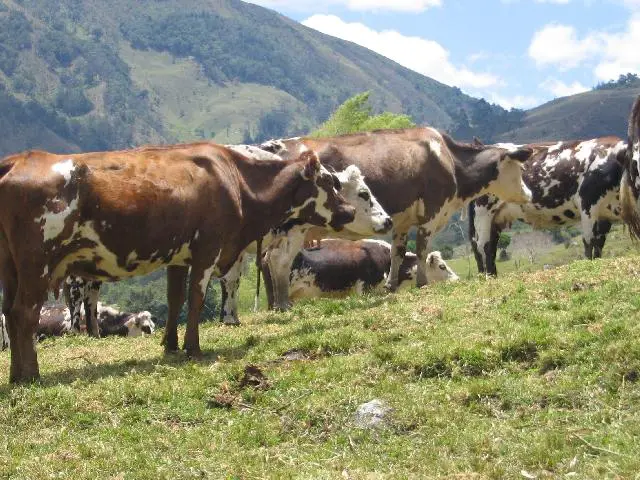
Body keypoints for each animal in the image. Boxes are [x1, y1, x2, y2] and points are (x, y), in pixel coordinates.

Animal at [0, 142, 360, 382]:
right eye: (328, 182)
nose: (349, 211)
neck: (236, 181)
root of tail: (20, 159)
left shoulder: (178, 255)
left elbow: (174, 299)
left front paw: (170, 345)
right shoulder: (208, 249)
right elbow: (195, 299)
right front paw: (193, 348)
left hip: (11, 266)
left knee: (9, 313)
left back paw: (17, 373)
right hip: (37, 263)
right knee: (24, 313)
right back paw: (30, 374)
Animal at [470, 137, 624, 276]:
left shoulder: (605, 217)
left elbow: (598, 244)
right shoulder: (587, 203)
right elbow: (589, 242)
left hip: (495, 219)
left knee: (490, 247)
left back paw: (493, 276)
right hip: (483, 213)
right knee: (483, 246)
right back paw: (488, 277)